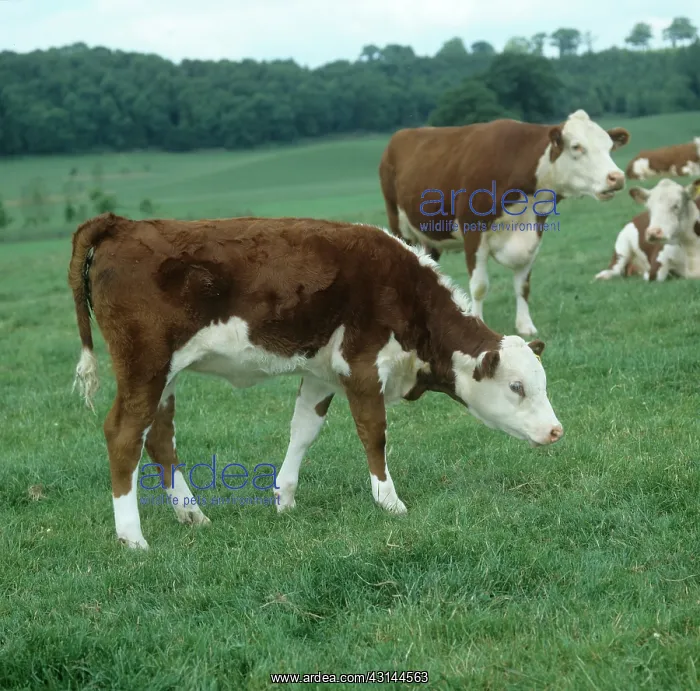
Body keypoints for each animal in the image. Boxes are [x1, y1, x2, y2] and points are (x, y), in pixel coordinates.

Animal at [69, 213, 564, 549]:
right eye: (517, 387)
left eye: (541, 384)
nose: (557, 431)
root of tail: (122, 225)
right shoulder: (362, 365)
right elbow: (374, 433)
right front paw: (389, 502)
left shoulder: (322, 374)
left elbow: (304, 430)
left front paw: (284, 498)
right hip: (144, 365)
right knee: (124, 435)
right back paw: (132, 537)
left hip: (164, 375)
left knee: (159, 438)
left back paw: (193, 516)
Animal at [379, 109, 630, 338]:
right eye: (577, 147)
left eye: (609, 147)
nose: (617, 177)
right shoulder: (474, 232)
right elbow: (479, 286)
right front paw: (478, 322)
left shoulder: (533, 233)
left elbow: (523, 285)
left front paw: (526, 326)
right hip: (399, 224)